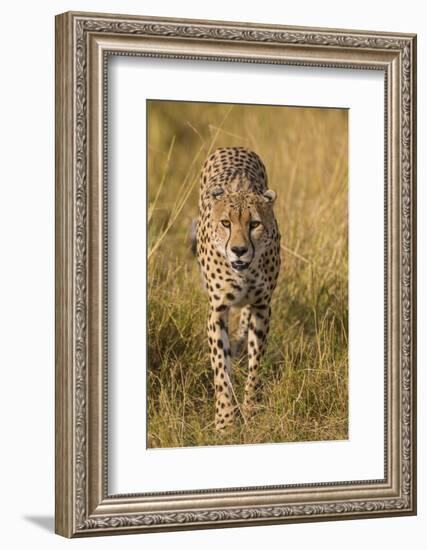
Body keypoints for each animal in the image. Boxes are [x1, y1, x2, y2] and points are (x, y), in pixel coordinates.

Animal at [196, 148, 282, 432]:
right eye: (226, 223)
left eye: (254, 224)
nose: (239, 250)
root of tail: (234, 147)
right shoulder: (217, 310)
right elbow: (221, 368)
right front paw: (225, 420)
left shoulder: (262, 307)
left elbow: (255, 365)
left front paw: (250, 410)